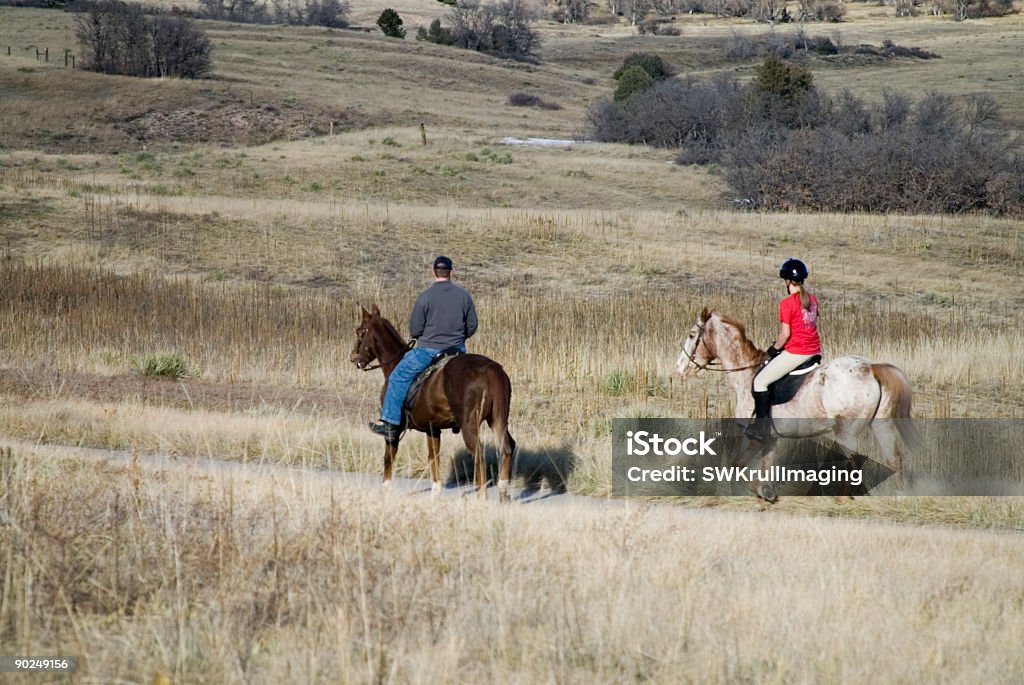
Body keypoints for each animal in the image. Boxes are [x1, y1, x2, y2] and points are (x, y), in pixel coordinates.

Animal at [350, 307, 516, 499]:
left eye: (360, 331)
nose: (353, 357)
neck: (395, 362)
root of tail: (491, 368)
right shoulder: (432, 428)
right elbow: (433, 457)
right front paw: (436, 491)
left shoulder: (394, 429)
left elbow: (389, 456)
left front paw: (385, 488)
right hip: (497, 420)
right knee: (508, 447)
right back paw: (503, 490)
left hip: (469, 425)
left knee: (479, 454)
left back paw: (481, 496)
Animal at [675, 307, 917, 499]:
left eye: (691, 335)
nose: (678, 369)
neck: (747, 372)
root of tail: (870, 367)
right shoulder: (770, 439)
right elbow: (764, 467)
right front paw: (766, 491)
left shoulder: (753, 435)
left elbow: (737, 465)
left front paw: (762, 492)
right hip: (881, 424)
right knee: (894, 459)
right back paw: (900, 497)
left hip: (846, 430)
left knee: (854, 461)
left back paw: (842, 498)